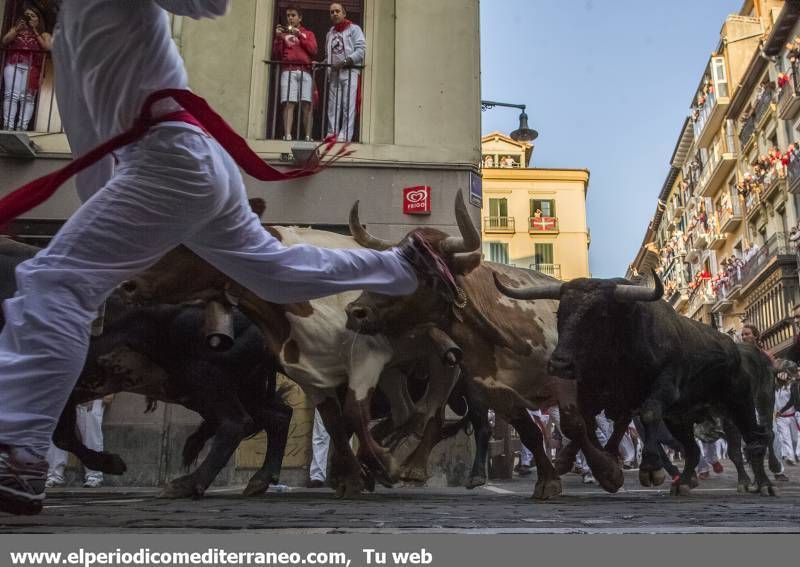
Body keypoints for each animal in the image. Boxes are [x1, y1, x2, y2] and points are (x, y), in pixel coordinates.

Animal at [496, 272, 780, 494]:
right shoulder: (597, 395)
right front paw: (579, 461)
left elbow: (648, 413)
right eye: (560, 313)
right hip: (680, 418)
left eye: (601, 315)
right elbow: (583, 425)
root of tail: (734, 349)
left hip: (740, 404)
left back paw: (763, 483)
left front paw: (649, 467)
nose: (559, 364)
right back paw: (684, 483)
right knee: (693, 449)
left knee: (754, 441)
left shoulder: (662, 386)